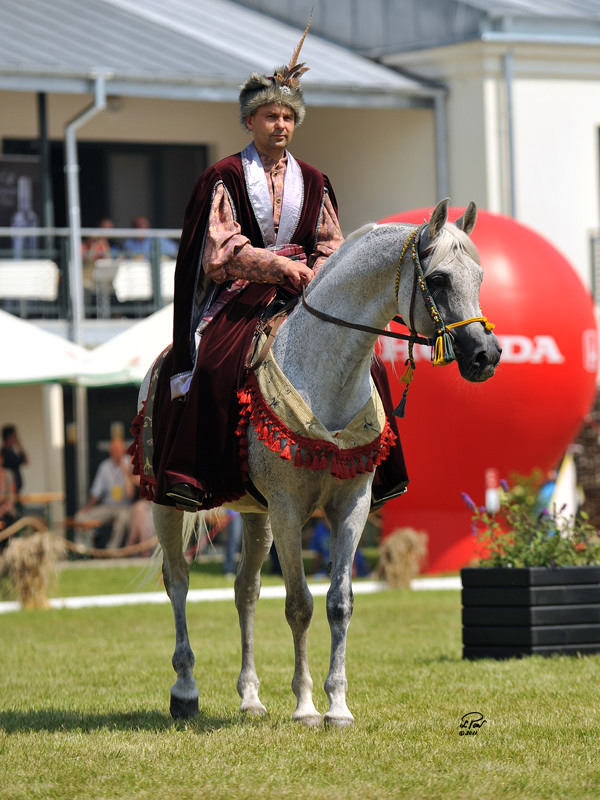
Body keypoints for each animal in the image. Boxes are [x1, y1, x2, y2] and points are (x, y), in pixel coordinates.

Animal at [150, 198, 502, 724]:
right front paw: (305, 706)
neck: (326, 374)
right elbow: (300, 605)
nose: (486, 355)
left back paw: (250, 697)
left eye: (478, 276)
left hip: (256, 517)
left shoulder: (349, 505)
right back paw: (185, 690)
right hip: (168, 504)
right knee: (178, 583)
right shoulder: (289, 510)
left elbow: (339, 603)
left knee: (245, 591)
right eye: (438, 279)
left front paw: (337, 705)